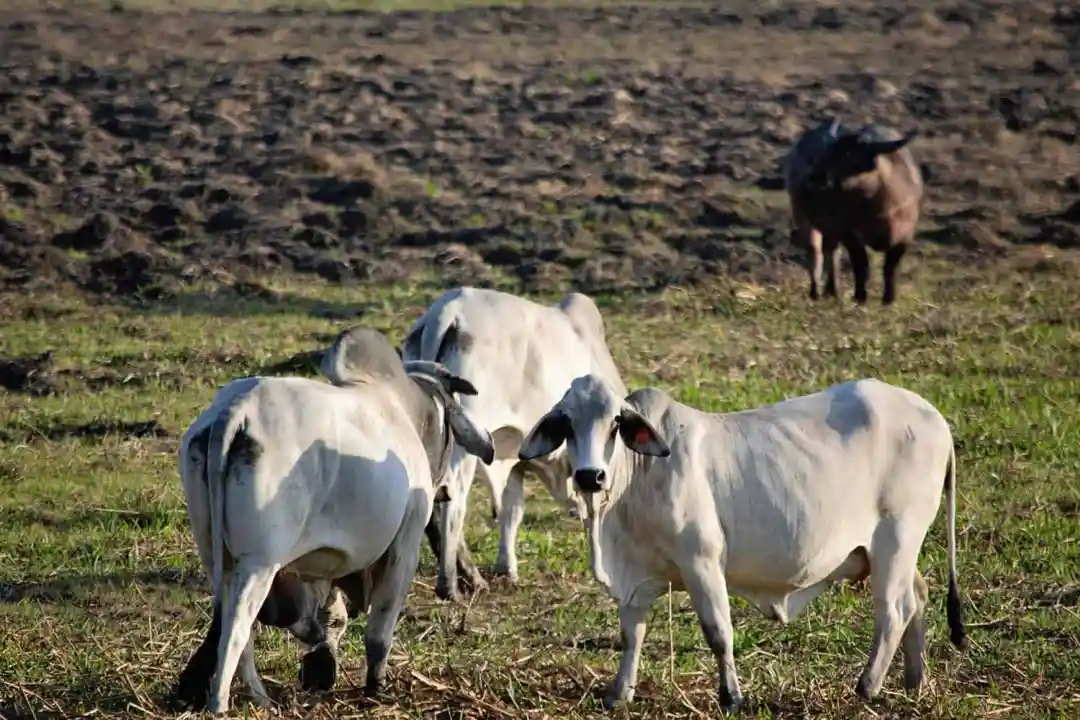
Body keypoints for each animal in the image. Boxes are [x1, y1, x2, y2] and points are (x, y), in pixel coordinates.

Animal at [174, 326, 495, 714]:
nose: (445, 491)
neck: (405, 409)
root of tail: (237, 410)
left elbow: (332, 617)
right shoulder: (404, 546)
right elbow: (379, 630)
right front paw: (375, 689)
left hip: (217, 556)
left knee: (234, 628)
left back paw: (259, 697)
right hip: (259, 563)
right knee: (236, 629)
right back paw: (220, 702)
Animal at [401, 287, 626, 602]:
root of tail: (449, 310)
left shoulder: (515, 462)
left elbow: (512, 511)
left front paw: (506, 568)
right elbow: (593, 511)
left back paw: (470, 577)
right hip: (463, 443)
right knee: (453, 503)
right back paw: (451, 585)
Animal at [518, 374, 967, 712]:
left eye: (615, 423)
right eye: (566, 424)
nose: (589, 476)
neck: (638, 478)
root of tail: (935, 417)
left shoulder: (702, 562)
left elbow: (718, 632)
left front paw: (730, 697)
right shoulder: (637, 577)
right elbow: (632, 636)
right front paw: (618, 695)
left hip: (896, 538)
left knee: (895, 610)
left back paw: (868, 686)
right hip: (895, 551)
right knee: (919, 595)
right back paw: (914, 681)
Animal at [783, 118, 924, 305]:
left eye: (849, 155)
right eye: (827, 152)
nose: (811, 178)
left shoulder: (905, 236)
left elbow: (891, 268)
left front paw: (889, 299)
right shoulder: (850, 233)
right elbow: (861, 265)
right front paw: (860, 297)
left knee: (832, 251)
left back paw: (832, 291)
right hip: (803, 219)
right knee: (815, 253)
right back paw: (816, 293)